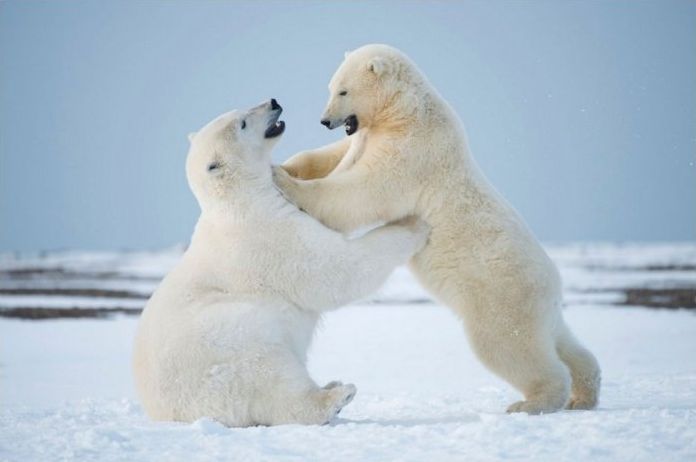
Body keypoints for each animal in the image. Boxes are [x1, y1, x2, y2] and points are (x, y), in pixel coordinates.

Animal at [132, 98, 430, 426]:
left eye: (241, 112)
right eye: (242, 123)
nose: (273, 103)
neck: (242, 201)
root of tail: (167, 412)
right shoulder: (271, 237)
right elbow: (334, 270)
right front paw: (414, 225)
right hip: (225, 341)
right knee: (269, 371)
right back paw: (336, 396)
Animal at [274, 45, 600, 414]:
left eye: (343, 91)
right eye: (331, 87)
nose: (325, 120)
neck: (407, 112)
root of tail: (554, 284)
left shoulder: (413, 151)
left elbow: (365, 189)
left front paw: (285, 182)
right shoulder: (374, 136)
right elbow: (334, 155)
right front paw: (289, 164)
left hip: (501, 298)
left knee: (507, 346)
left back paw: (531, 402)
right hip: (543, 309)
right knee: (565, 342)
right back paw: (583, 394)